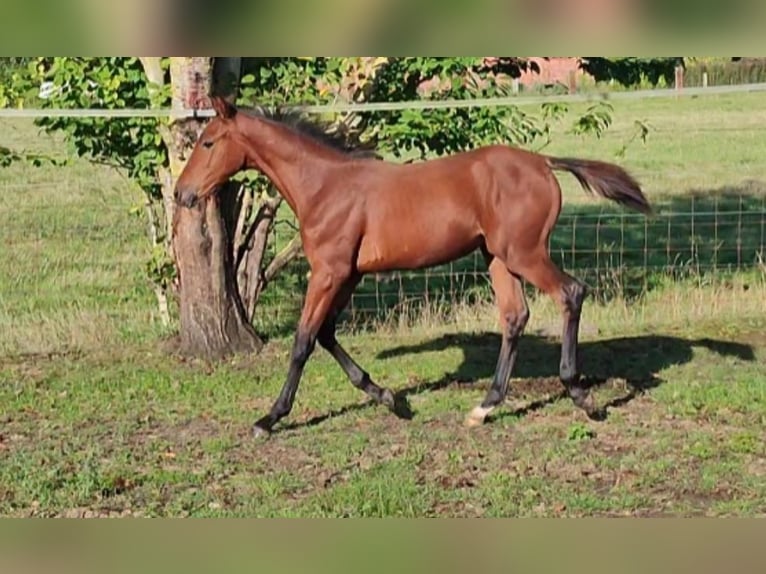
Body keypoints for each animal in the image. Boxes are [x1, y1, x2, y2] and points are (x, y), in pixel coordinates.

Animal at [176, 97, 656, 438]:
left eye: (208, 142)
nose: (182, 194)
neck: (325, 186)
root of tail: (542, 162)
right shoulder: (349, 274)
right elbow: (327, 334)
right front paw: (390, 398)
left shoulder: (329, 271)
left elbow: (304, 340)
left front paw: (270, 418)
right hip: (498, 257)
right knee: (515, 316)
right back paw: (484, 407)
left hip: (523, 252)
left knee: (571, 293)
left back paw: (581, 396)